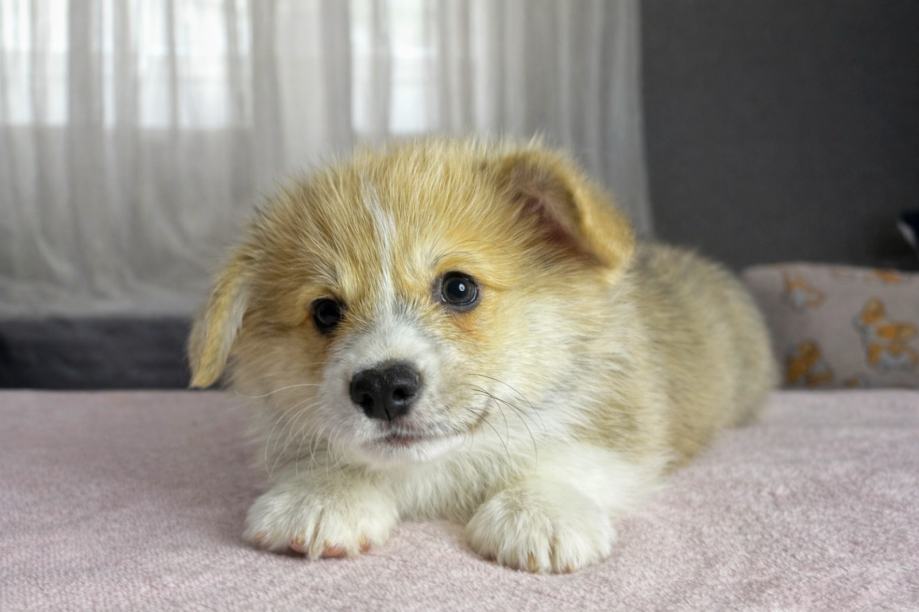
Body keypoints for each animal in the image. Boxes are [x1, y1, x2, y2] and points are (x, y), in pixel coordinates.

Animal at [188, 139, 777, 573]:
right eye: (325, 312)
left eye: (459, 288)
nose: (381, 388)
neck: (443, 467)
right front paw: (323, 496)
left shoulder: (624, 426)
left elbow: (567, 457)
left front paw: (539, 510)